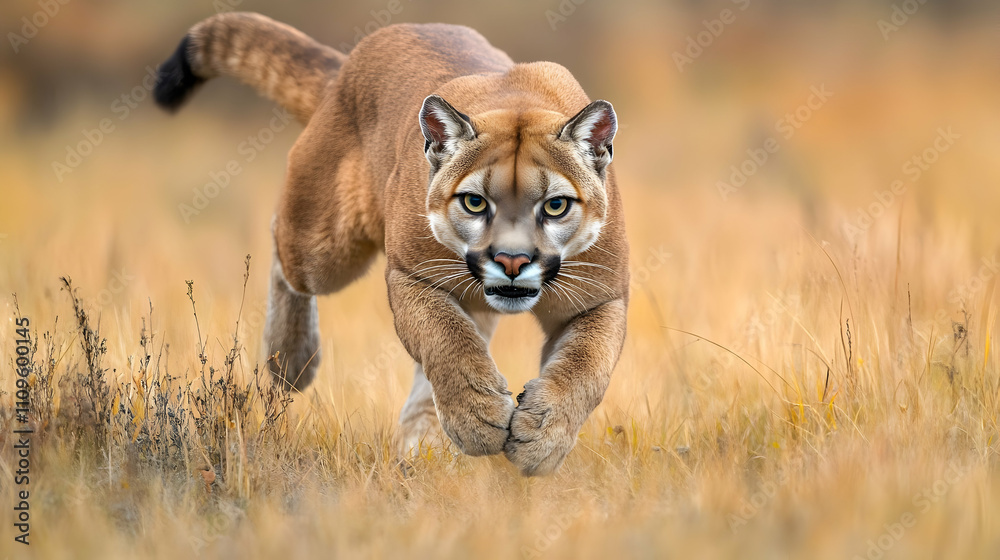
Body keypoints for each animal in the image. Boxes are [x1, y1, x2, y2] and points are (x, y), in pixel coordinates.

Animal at [153, 12, 629, 475]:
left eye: (555, 206)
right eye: (475, 202)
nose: (512, 261)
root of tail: (349, 64)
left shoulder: (602, 296)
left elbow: (586, 367)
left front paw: (540, 441)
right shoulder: (411, 274)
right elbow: (447, 340)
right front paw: (480, 422)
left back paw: (422, 446)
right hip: (324, 247)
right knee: (282, 248)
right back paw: (290, 358)